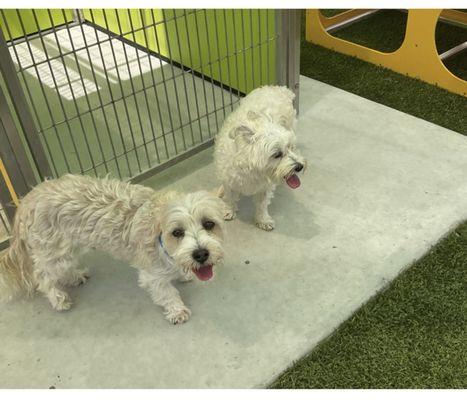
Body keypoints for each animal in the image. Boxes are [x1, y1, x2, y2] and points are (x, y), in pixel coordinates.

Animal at [0, 173, 227, 324]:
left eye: (209, 224)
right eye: (177, 232)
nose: (200, 254)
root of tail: (28, 199)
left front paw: (183, 273)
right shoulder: (151, 274)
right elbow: (166, 293)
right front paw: (177, 310)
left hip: (71, 247)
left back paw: (74, 277)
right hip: (55, 253)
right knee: (42, 276)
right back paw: (58, 299)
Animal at [213, 86, 308, 230]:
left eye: (290, 147)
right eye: (277, 154)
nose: (299, 166)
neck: (252, 168)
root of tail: (278, 88)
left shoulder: (265, 188)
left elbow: (262, 204)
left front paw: (263, 220)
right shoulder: (229, 180)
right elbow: (230, 197)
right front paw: (229, 210)